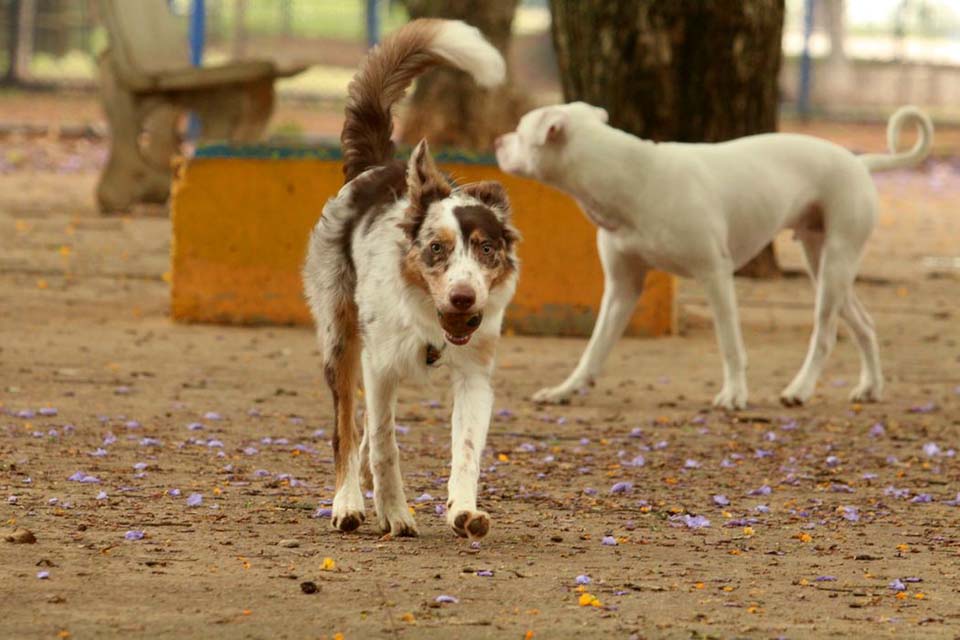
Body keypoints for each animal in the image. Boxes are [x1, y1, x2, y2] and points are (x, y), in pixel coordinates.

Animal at [306, 20, 516, 540]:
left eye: (486, 249)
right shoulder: (379, 366)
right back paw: (349, 502)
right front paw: (395, 513)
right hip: (340, 339)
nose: (463, 298)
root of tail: (377, 166)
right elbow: (383, 443)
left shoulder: (475, 375)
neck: (429, 321)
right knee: (346, 429)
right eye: (436, 248)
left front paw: (463, 511)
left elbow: (466, 451)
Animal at [498, 102, 932, 408]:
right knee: (865, 325)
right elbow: (594, 348)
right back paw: (870, 387)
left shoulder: (715, 276)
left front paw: (735, 394)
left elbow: (729, 343)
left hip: (834, 266)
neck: (631, 177)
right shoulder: (622, 288)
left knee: (824, 335)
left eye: (519, 130)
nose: (499, 142)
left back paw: (801, 389)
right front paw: (565, 389)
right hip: (822, 263)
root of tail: (859, 161)